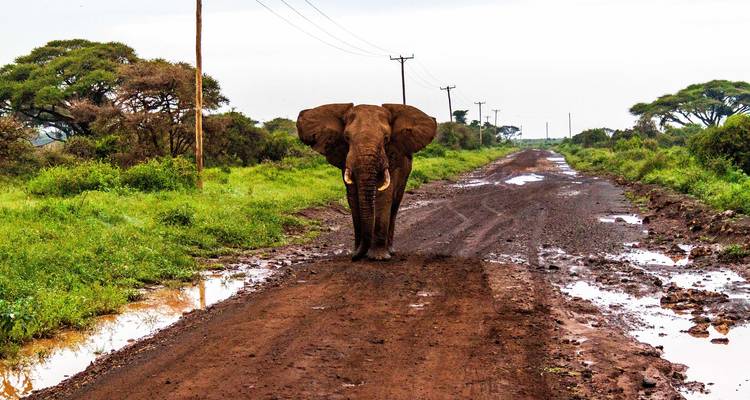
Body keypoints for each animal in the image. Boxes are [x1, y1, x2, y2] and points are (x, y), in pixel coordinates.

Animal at [297, 103, 437, 261]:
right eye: (346, 138)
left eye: (386, 138)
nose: (354, 257)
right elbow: (353, 197)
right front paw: (357, 252)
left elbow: (384, 196)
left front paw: (378, 257)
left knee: (395, 204)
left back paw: (390, 250)